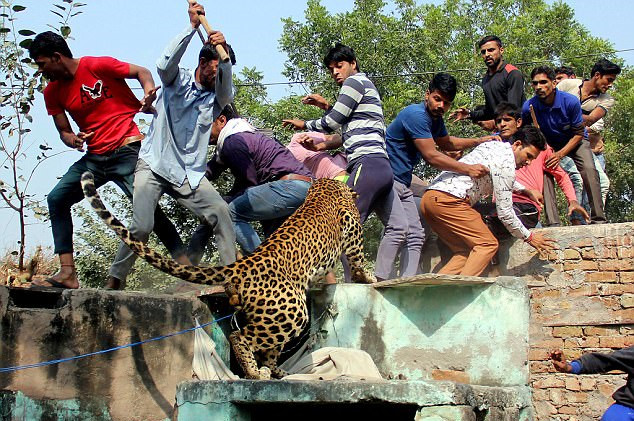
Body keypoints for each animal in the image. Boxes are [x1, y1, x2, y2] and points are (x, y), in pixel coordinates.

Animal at [80, 170, 376, 378]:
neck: (325, 186)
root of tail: (242, 265)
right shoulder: (352, 229)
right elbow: (357, 259)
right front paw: (369, 278)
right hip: (292, 311)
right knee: (240, 337)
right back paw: (255, 373)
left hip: (273, 314)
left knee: (267, 348)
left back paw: (275, 371)